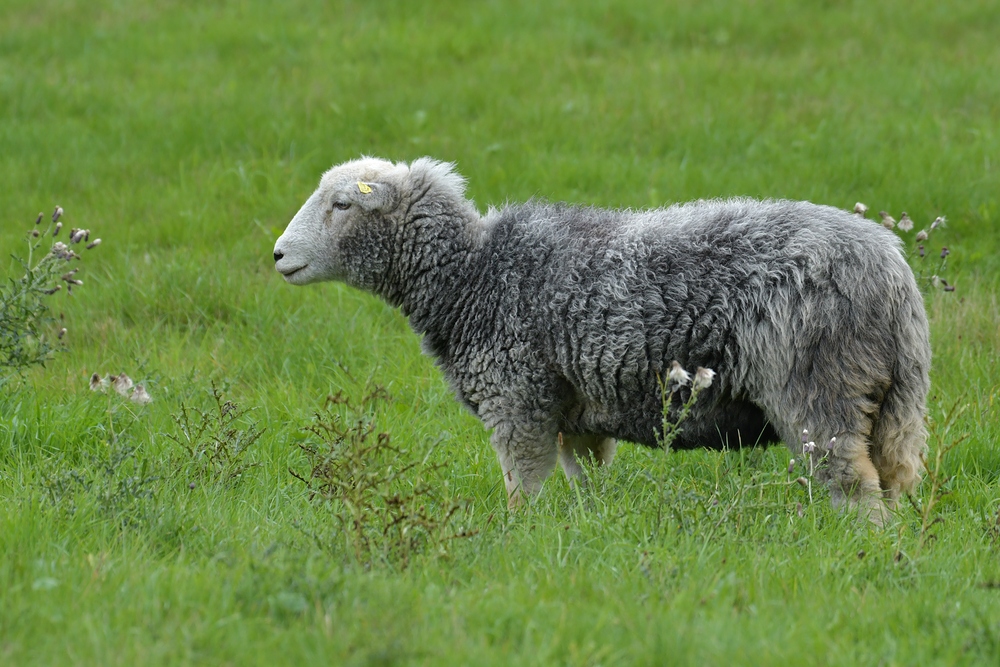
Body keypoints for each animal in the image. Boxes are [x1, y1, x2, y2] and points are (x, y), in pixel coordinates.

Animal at [272, 157, 928, 520]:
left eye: (340, 204)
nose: (278, 255)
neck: (471, 277)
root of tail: (889, 268)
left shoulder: (518, 402)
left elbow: (523, 491)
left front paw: (519, 538)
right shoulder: (576, 416)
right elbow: (586, 483)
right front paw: (591, 528)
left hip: (818, 385)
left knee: (853, 486)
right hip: (894, 400)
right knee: (894, 480)